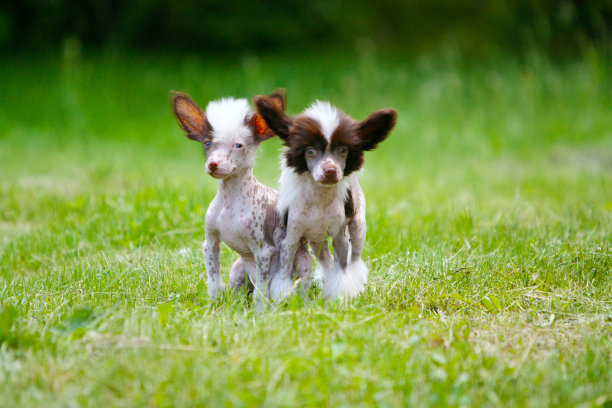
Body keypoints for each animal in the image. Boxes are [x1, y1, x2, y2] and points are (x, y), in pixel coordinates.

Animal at [171, 91, 310, 308]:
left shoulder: (263, 251)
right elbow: (214, 279)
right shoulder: (210, 243)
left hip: (303, 264)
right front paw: (214, 304)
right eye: (207, 144)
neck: (229, 202)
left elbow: (262, 290)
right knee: (240, 292)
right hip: (238, 270)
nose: (213, 164)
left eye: (238, 145)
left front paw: (260, 311)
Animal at [253, 95, 396, 300]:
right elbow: (284, 270)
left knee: (354, 259)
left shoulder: (340, 238)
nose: (330, 170)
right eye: (310, 151)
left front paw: (340, 295)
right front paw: (283, 294)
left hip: (358, 227)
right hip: (316, 242)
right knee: (327, 261)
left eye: (343, 150)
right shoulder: (291, 238)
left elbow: (342, 270)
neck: (319, 198)